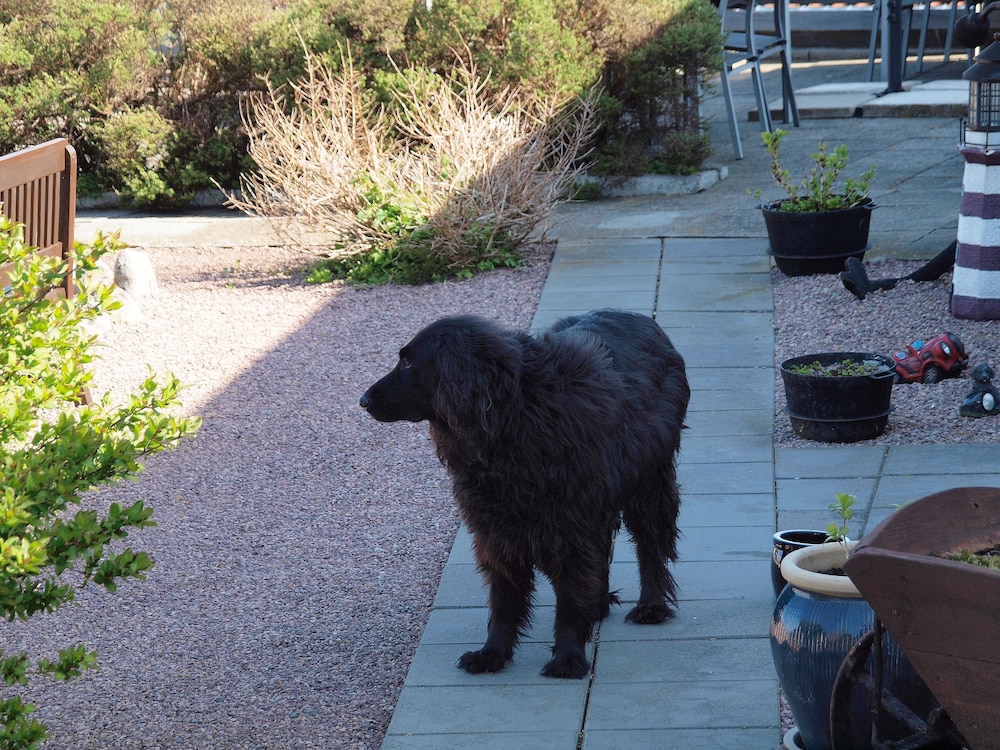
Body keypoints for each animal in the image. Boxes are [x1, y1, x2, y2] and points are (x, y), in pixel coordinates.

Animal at [360, 309, 689, 679]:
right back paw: (599, 604)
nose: (363, 401)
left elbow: (570, 597)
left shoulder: (569, 524)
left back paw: (651, 605)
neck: (514, 414)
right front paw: (493, 653)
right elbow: (504, 599)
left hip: (648, 483)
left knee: (651, 545)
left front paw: (568, 656)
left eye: (407, 362)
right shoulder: (496, 528)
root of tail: (642, 319)